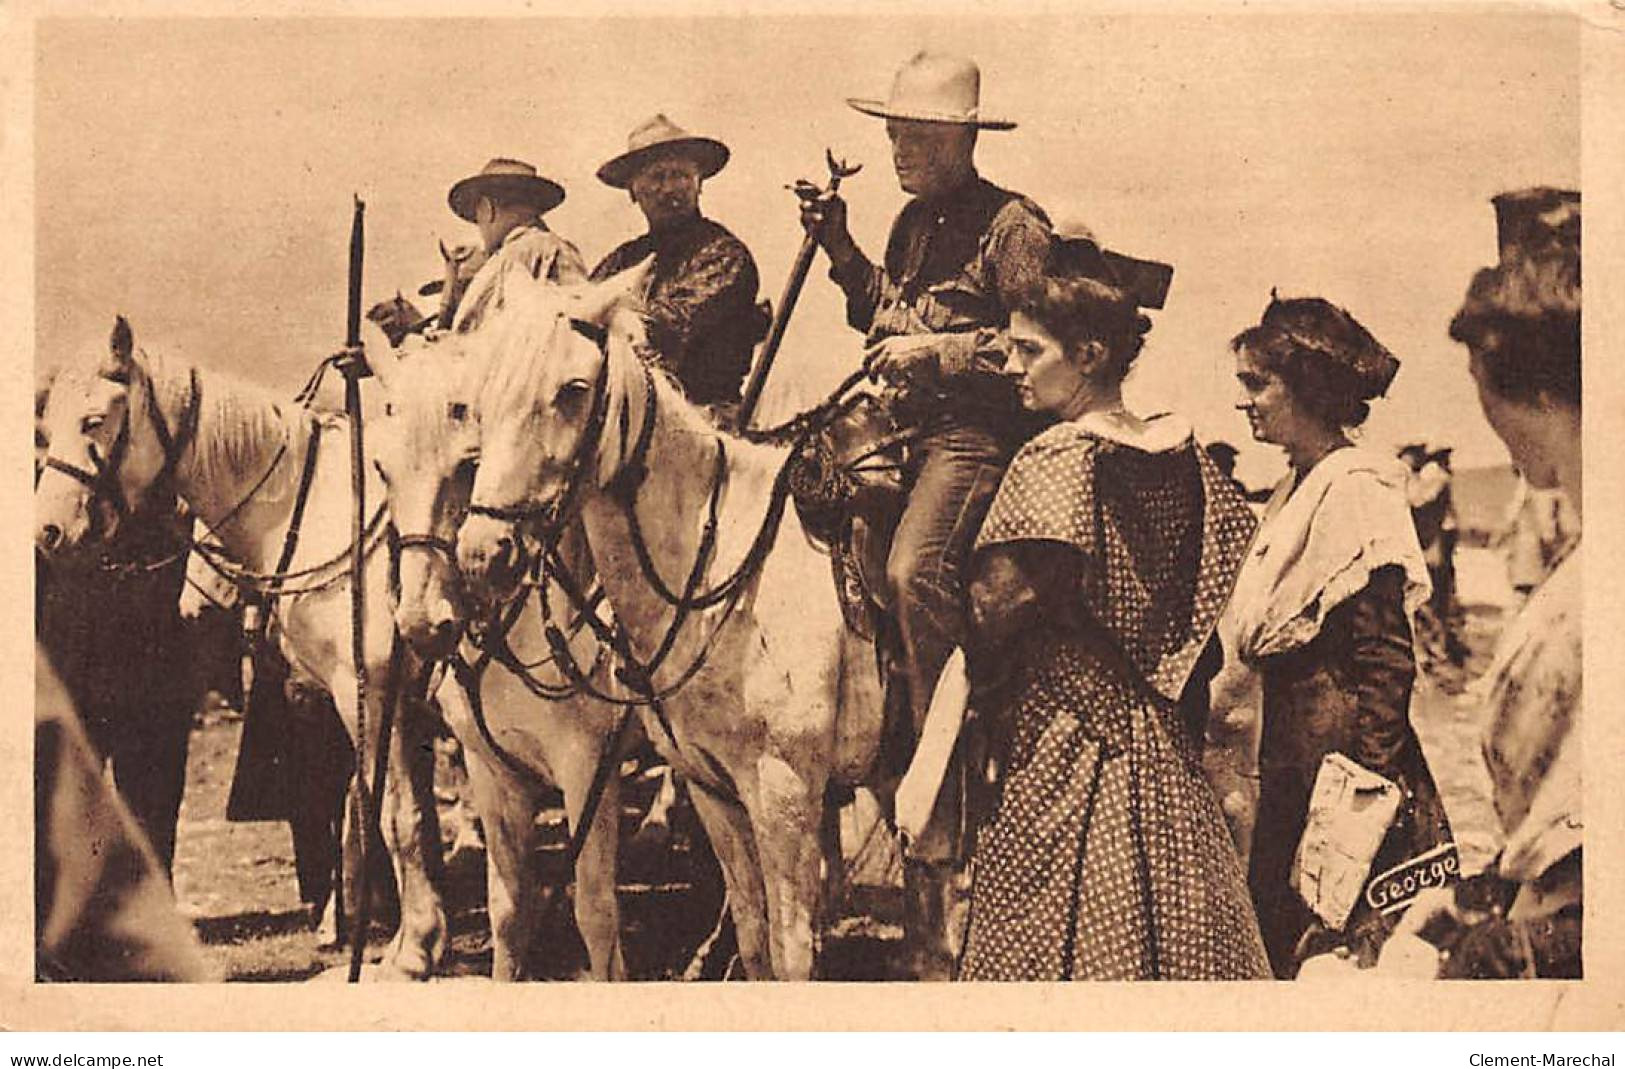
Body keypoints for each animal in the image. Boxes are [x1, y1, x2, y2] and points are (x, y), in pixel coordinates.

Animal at [34, 313, 451, 974]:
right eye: (45, 429)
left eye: (93, 421)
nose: (44, 530)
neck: (324, 511)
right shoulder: (388, 699)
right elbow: (397, 813)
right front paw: (406, 935)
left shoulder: (371, 688)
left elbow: (392, 814)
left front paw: (412, 949)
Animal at [368, 337, 633, 981]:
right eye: (382, 469)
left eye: (469, 464)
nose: (422, 623)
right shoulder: (492, 773)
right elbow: (508, 909)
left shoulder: (589, 771)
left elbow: (596, 913)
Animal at [458, 272, 890, 974]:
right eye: (476, 401)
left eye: (572, 390)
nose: (483, 554)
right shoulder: (713, 791)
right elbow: (753, 934)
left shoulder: (786, 793)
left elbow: (791, 952)